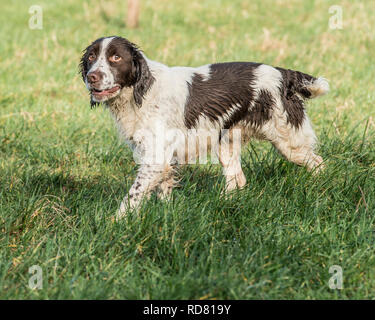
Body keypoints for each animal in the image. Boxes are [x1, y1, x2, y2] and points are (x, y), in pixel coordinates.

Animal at [78, 36, 328, 219]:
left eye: (116, 57)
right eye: (91, 56)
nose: (92, 77)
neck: (142, 92)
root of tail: (283, 73)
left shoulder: (155, 159)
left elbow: (133, 195)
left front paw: (115, 222)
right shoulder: (161, 158)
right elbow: (164, 191)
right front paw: (166, 214)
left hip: (288, 141)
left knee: (318, 163)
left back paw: (318, 189)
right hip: (227, 145)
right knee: (238, 181)